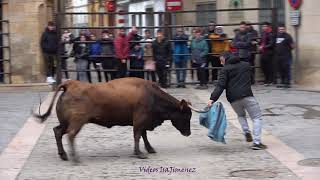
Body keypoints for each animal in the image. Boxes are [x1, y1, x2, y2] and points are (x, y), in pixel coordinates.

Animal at [34, 77, 192, 162]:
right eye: (186, 115)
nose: (188, 133)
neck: (152, 95)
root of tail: (70, 84)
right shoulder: (139, 121)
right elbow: (138, 136)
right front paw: (139, 154)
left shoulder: (142, 122)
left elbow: (143, 135)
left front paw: (149, 149)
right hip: (77, 122)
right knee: (71, 135)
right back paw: (75, 158)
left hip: (65, 123)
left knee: (57, 131)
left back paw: (64, 155)